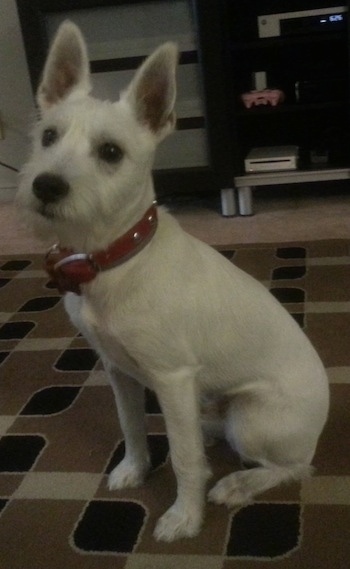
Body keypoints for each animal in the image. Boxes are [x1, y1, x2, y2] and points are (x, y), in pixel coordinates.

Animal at [17, 22, 328, 540]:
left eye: (110, 152)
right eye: (47, 135)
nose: (46, 185)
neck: (112, 261)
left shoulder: (172, 376)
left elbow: (183, 460)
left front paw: (185, 517)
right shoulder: (118, 369)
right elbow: (131, 427)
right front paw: (134, 469)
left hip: (253, 418)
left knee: (291, 467)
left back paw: (237, 484)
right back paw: (207, 433)